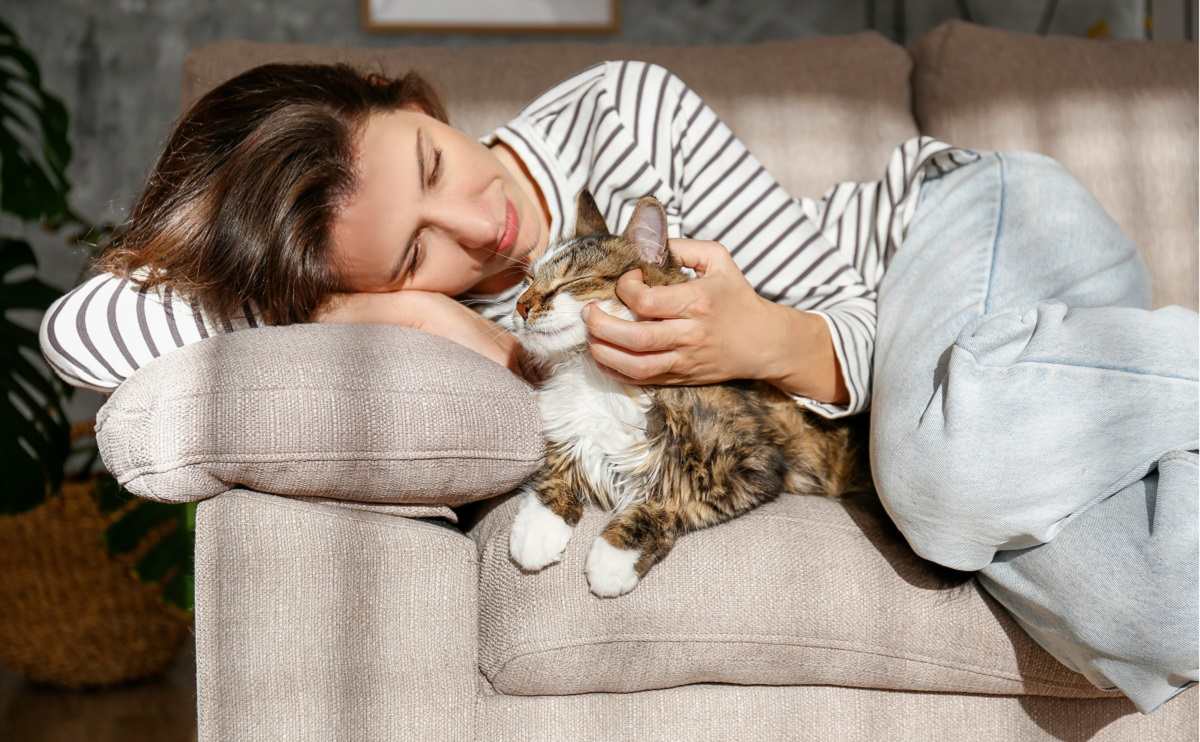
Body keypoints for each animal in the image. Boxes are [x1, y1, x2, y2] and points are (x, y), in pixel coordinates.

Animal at [506, 189, 873, 595]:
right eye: (528, 280)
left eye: (574, 280)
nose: (520, 306)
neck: (596, 376)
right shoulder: (570, 432)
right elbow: (557, 474)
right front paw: (535, 534)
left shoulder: (753, 469)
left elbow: (671, 500)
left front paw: (612, 557)